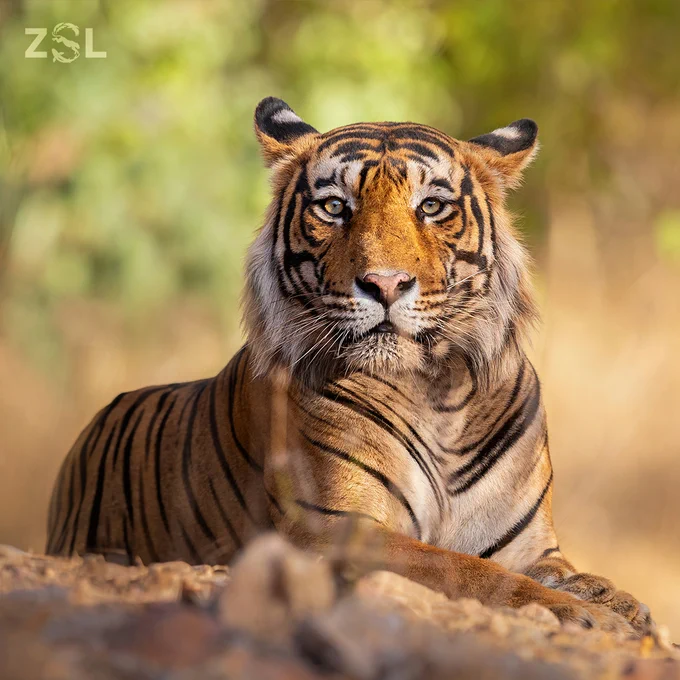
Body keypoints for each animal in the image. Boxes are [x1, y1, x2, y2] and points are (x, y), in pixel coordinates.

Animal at [46, 97, 653, 637]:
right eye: (335, 207)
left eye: (431, 207)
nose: (384, 284)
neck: (439, 394)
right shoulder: (335, 529)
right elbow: (466, 570)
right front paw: (583, 614)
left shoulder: (528, 543)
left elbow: (563, 573)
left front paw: (618, 602)